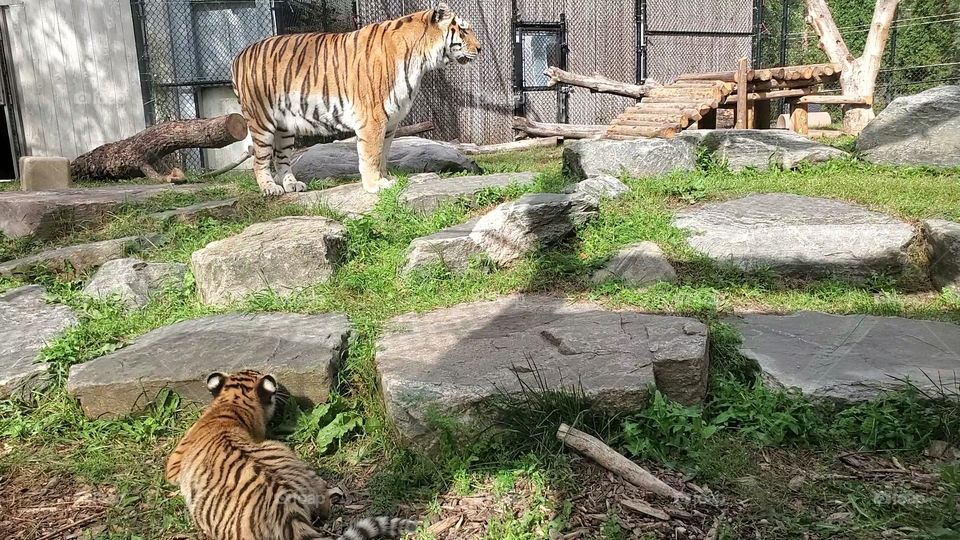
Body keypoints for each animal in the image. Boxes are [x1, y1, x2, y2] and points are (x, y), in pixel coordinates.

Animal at [231, 3, 481, 196]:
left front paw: (386, 179)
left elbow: (383, 154)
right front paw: (374, 186)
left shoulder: (391, 121)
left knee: (281, 158)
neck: (422, 59)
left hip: (284, 126)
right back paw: (270, 188)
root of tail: (240, 53)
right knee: (260, 159)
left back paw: (292, 185)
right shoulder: (373, 118)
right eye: (463, 31)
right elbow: (371, 155)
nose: (479, 48)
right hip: (261, 120)